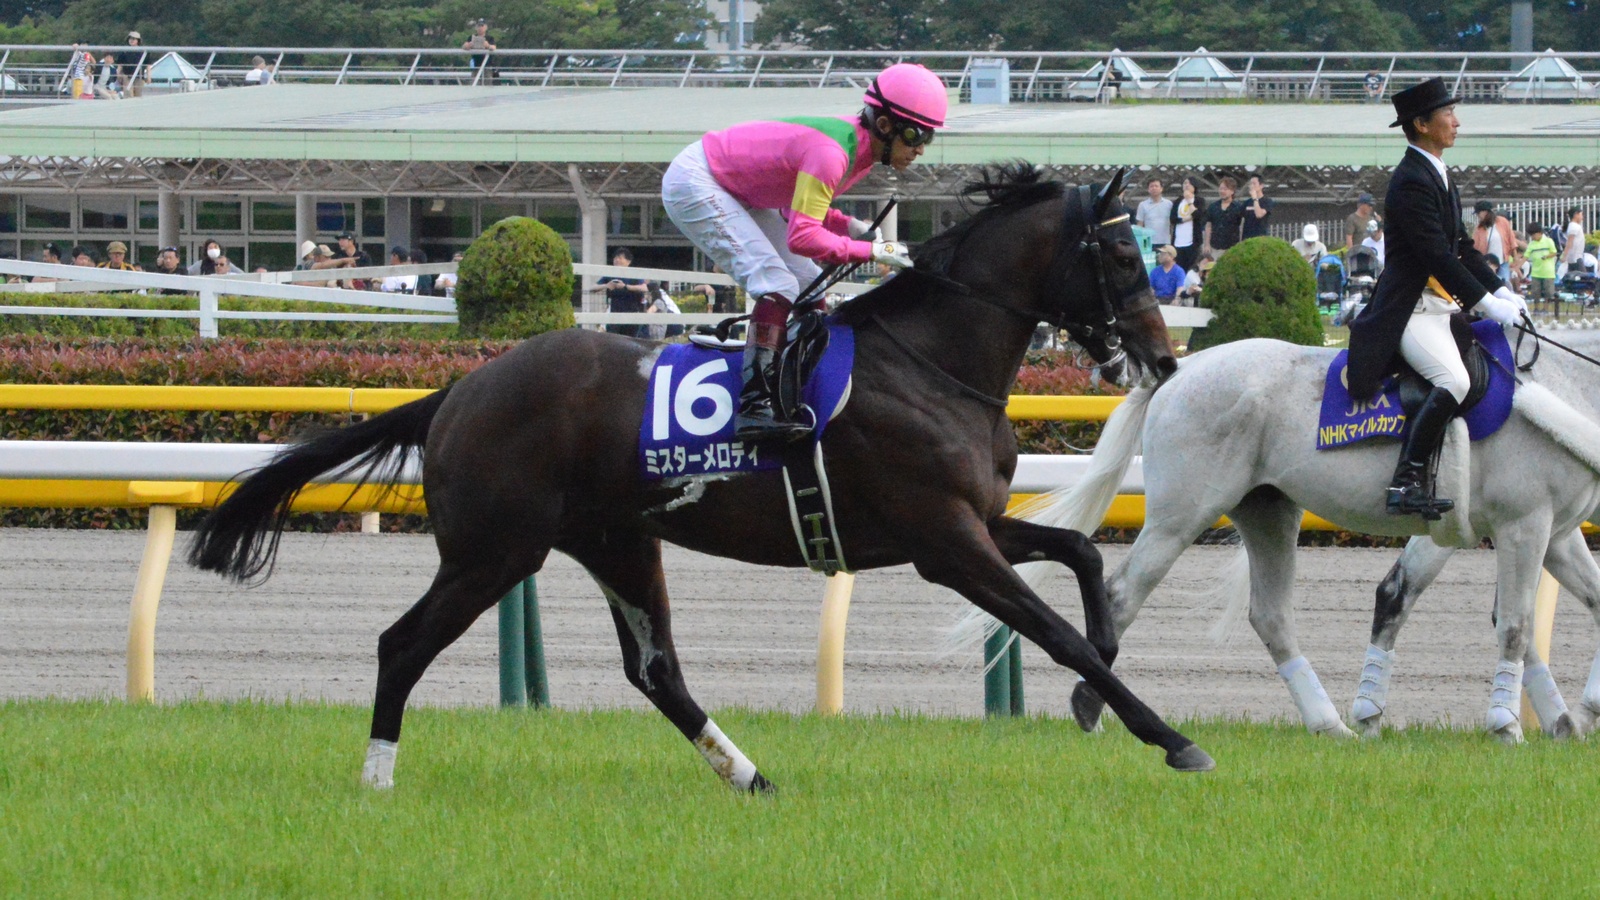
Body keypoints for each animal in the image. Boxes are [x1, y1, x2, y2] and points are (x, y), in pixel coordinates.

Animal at [187, 163, 1218, 793]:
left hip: (614, 541)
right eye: (1118, 253)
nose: (1161, 356)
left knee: (658, 672)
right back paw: (376, 777)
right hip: (494, 551)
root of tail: (460, 388)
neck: (930, 361)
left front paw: (1098, 695)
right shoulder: (944, 540)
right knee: (401, 645)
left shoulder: (971, 521)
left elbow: (1082, 555)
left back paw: (753, 777)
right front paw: (1169, 737)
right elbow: (1056, 631)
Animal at [995, 326, 1600, 744]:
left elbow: (1589, 603)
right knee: (1123, 592)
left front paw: (1577, 717)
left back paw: (1330, 724)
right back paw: (1091, 710)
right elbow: (1516, 625)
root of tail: (1179, 370)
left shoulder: (1557, 532)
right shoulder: (1524, 524)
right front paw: (1507, 726)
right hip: (1180, 516)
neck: (1568, 387)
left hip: (1269, 512)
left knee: (1271, 616)